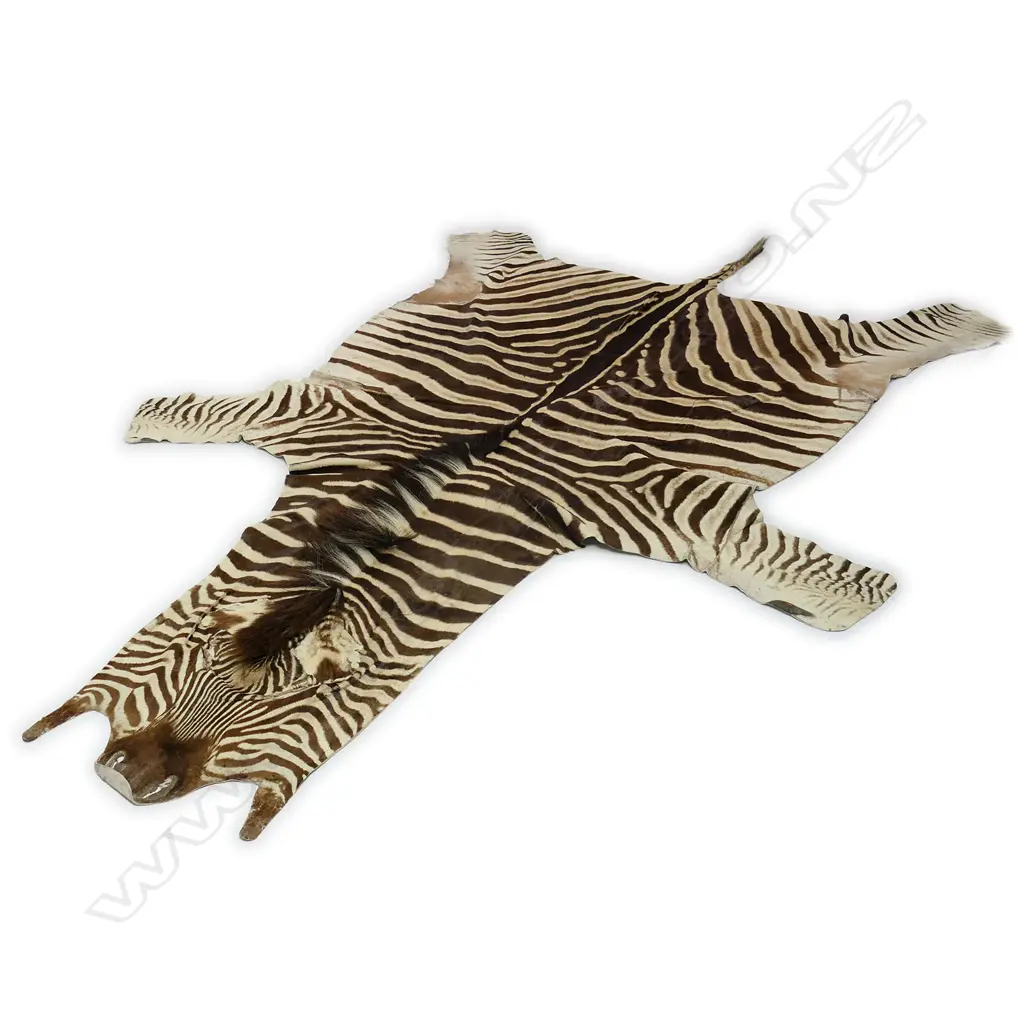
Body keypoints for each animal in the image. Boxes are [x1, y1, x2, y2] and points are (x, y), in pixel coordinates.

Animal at [24, 230, 1008, 840]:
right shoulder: (335, 422)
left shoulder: (662, 516)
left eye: (297, 697)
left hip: (828, 360)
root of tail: (678, 293)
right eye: (194, 652)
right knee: (497, 247)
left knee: (890, 341)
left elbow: (845, 597)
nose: (123, 782)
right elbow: (159, 414)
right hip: (511, 292)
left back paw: (982, 325)